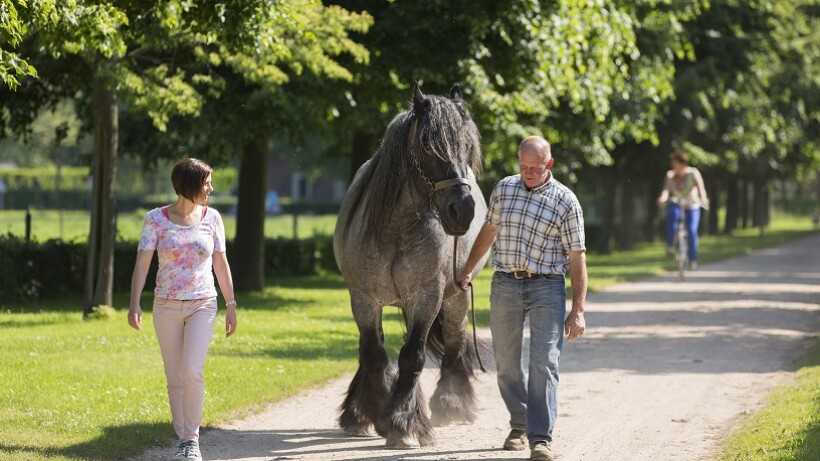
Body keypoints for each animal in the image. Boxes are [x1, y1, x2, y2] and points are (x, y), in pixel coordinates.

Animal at [334, 82, 486, 446]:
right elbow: (374, 353)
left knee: (454, 342)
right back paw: (359, 412)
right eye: (429, 144)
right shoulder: (363, 298)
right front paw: (376, 412)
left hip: (456, 297)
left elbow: (412, 356)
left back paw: (451, 403)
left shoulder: (427, 296)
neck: (396, 229)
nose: (462, 210)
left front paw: (403, 423)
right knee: (370, 348)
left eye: (469, 145)